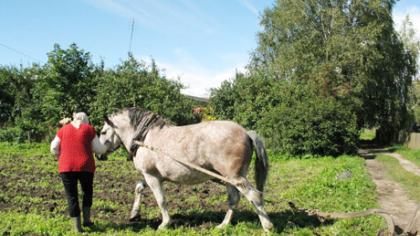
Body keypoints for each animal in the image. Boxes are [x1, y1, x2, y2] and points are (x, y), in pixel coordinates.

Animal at [99, 108, 274, 231]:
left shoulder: (152, 177)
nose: (99, 155)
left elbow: (161, 199)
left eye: (103, 132)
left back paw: (267, 227)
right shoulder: (150, 175)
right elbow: (138, 188)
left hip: (235, 177)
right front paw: (134, 214)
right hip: (230, 179)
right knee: (234, 199)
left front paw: (165, 224)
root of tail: (246, 132)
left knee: (254, 196)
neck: (146, 137)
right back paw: (223, 225)